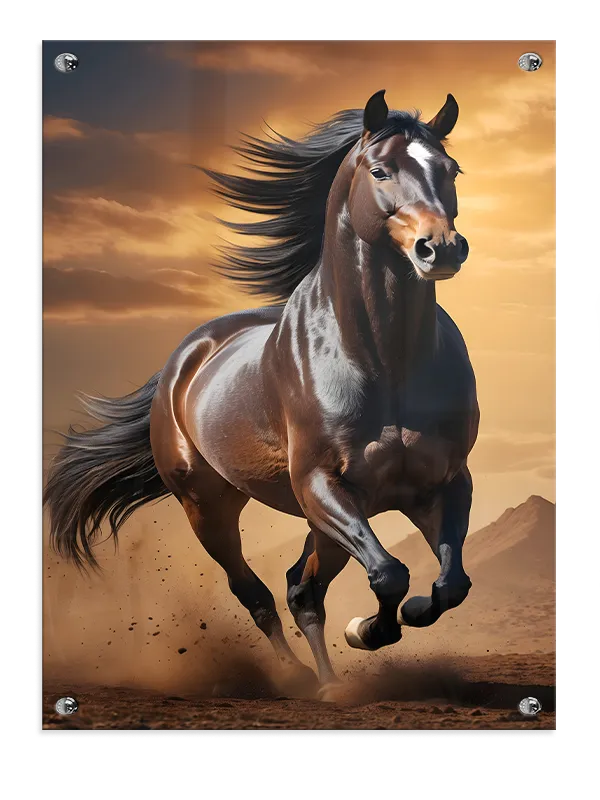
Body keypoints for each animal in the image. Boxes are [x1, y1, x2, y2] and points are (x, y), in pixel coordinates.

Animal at [44, 90, 479, 700]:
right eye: (380, 170)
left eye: (451, 168)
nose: (440, 249)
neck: (384, 361)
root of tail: (185, 358)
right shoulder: (321, 484)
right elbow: (389, 572)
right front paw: (369, 630)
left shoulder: (440, 483)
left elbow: (449, 583)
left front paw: (392, 621)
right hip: (209, 505)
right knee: (257, 591)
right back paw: (301, 677)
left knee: (302, 588)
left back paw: (328, 679)